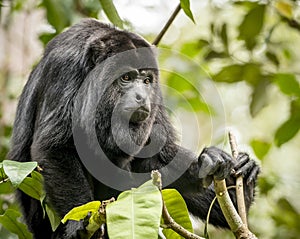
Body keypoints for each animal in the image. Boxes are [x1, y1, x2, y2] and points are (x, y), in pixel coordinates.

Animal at [8, 19, 258, 239]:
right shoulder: (65, 68)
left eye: (146, 80)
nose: (141, 97)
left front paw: (206, 163)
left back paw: (243, 184)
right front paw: (77, 223)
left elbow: (154, 155)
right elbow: (54, 146)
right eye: (126, 77)